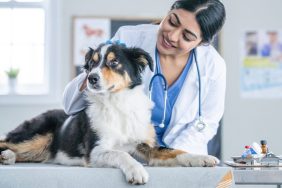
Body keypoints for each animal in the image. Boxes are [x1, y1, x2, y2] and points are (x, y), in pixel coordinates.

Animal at [0, 41, 218, 184]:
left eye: (114, 62)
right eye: (92, 64)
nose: (91, 78)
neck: (117, 103)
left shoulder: (145, 146)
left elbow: (174, 151)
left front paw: (202, 158)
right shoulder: (96, 151)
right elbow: (121, 154)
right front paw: (136, 171)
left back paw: (8, 157)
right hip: (37, 136)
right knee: (6, 141)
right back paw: (7, 154)